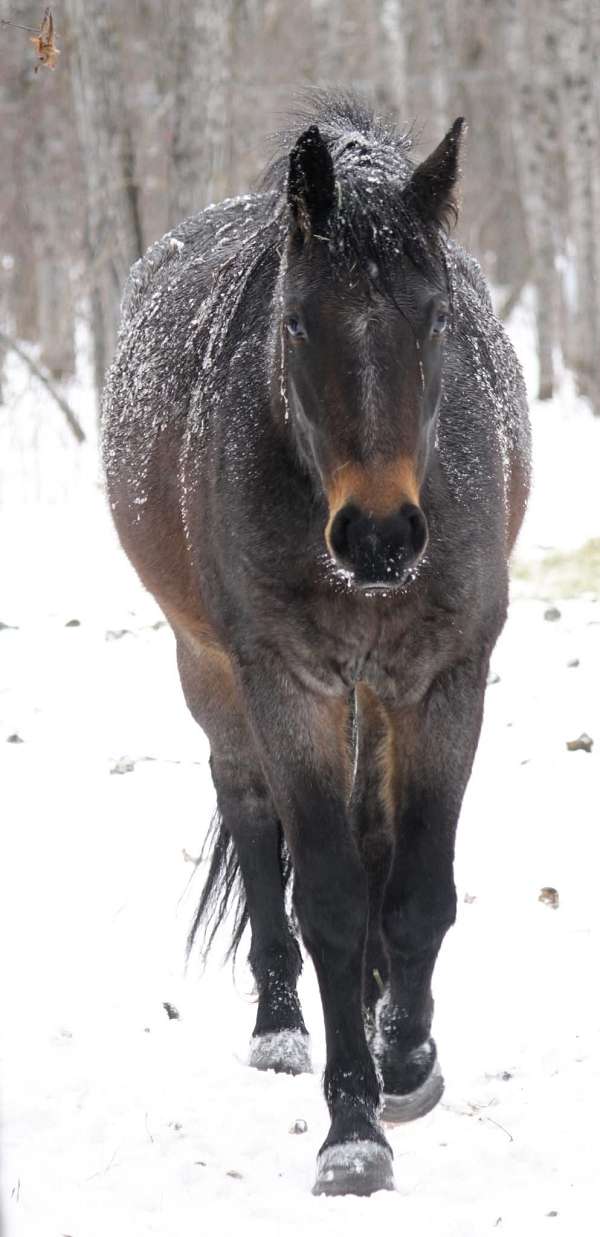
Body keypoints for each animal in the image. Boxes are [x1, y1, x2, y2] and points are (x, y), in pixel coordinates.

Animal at [102, 93, 531, 1197]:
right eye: (298, 321)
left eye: (435, 316)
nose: (378, 537)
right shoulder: (288, 683)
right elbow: (327, 897)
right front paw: (353, 1128)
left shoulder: (443, 677)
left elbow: (415, 887)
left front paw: (407, 1059)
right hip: (213, 673)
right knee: (254, 820)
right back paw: (281, 1027)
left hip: (371, 695)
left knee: (372, 835)